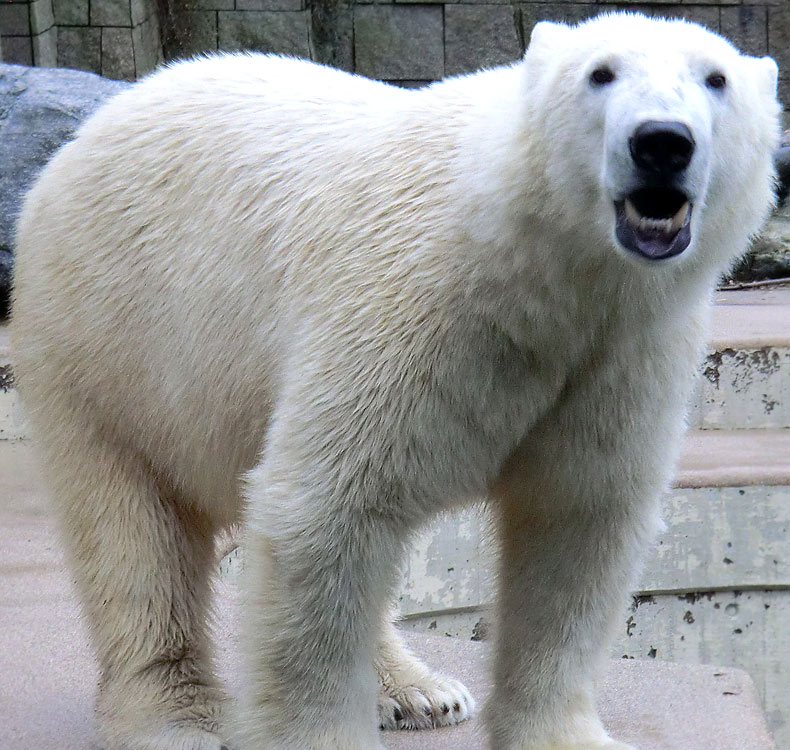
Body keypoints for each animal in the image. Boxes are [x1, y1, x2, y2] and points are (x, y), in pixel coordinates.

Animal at [9, 10, 784, 750]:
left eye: (716, 79)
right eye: (601, 72)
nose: (662, 142)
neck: (537, 270)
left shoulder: (624, 354)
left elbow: (578, 522)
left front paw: (566, 736)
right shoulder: (410, 311)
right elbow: (323, 510)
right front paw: (317, 737)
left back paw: (418, 690)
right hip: (107, 338)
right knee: (133, 532)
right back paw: (176, 718)